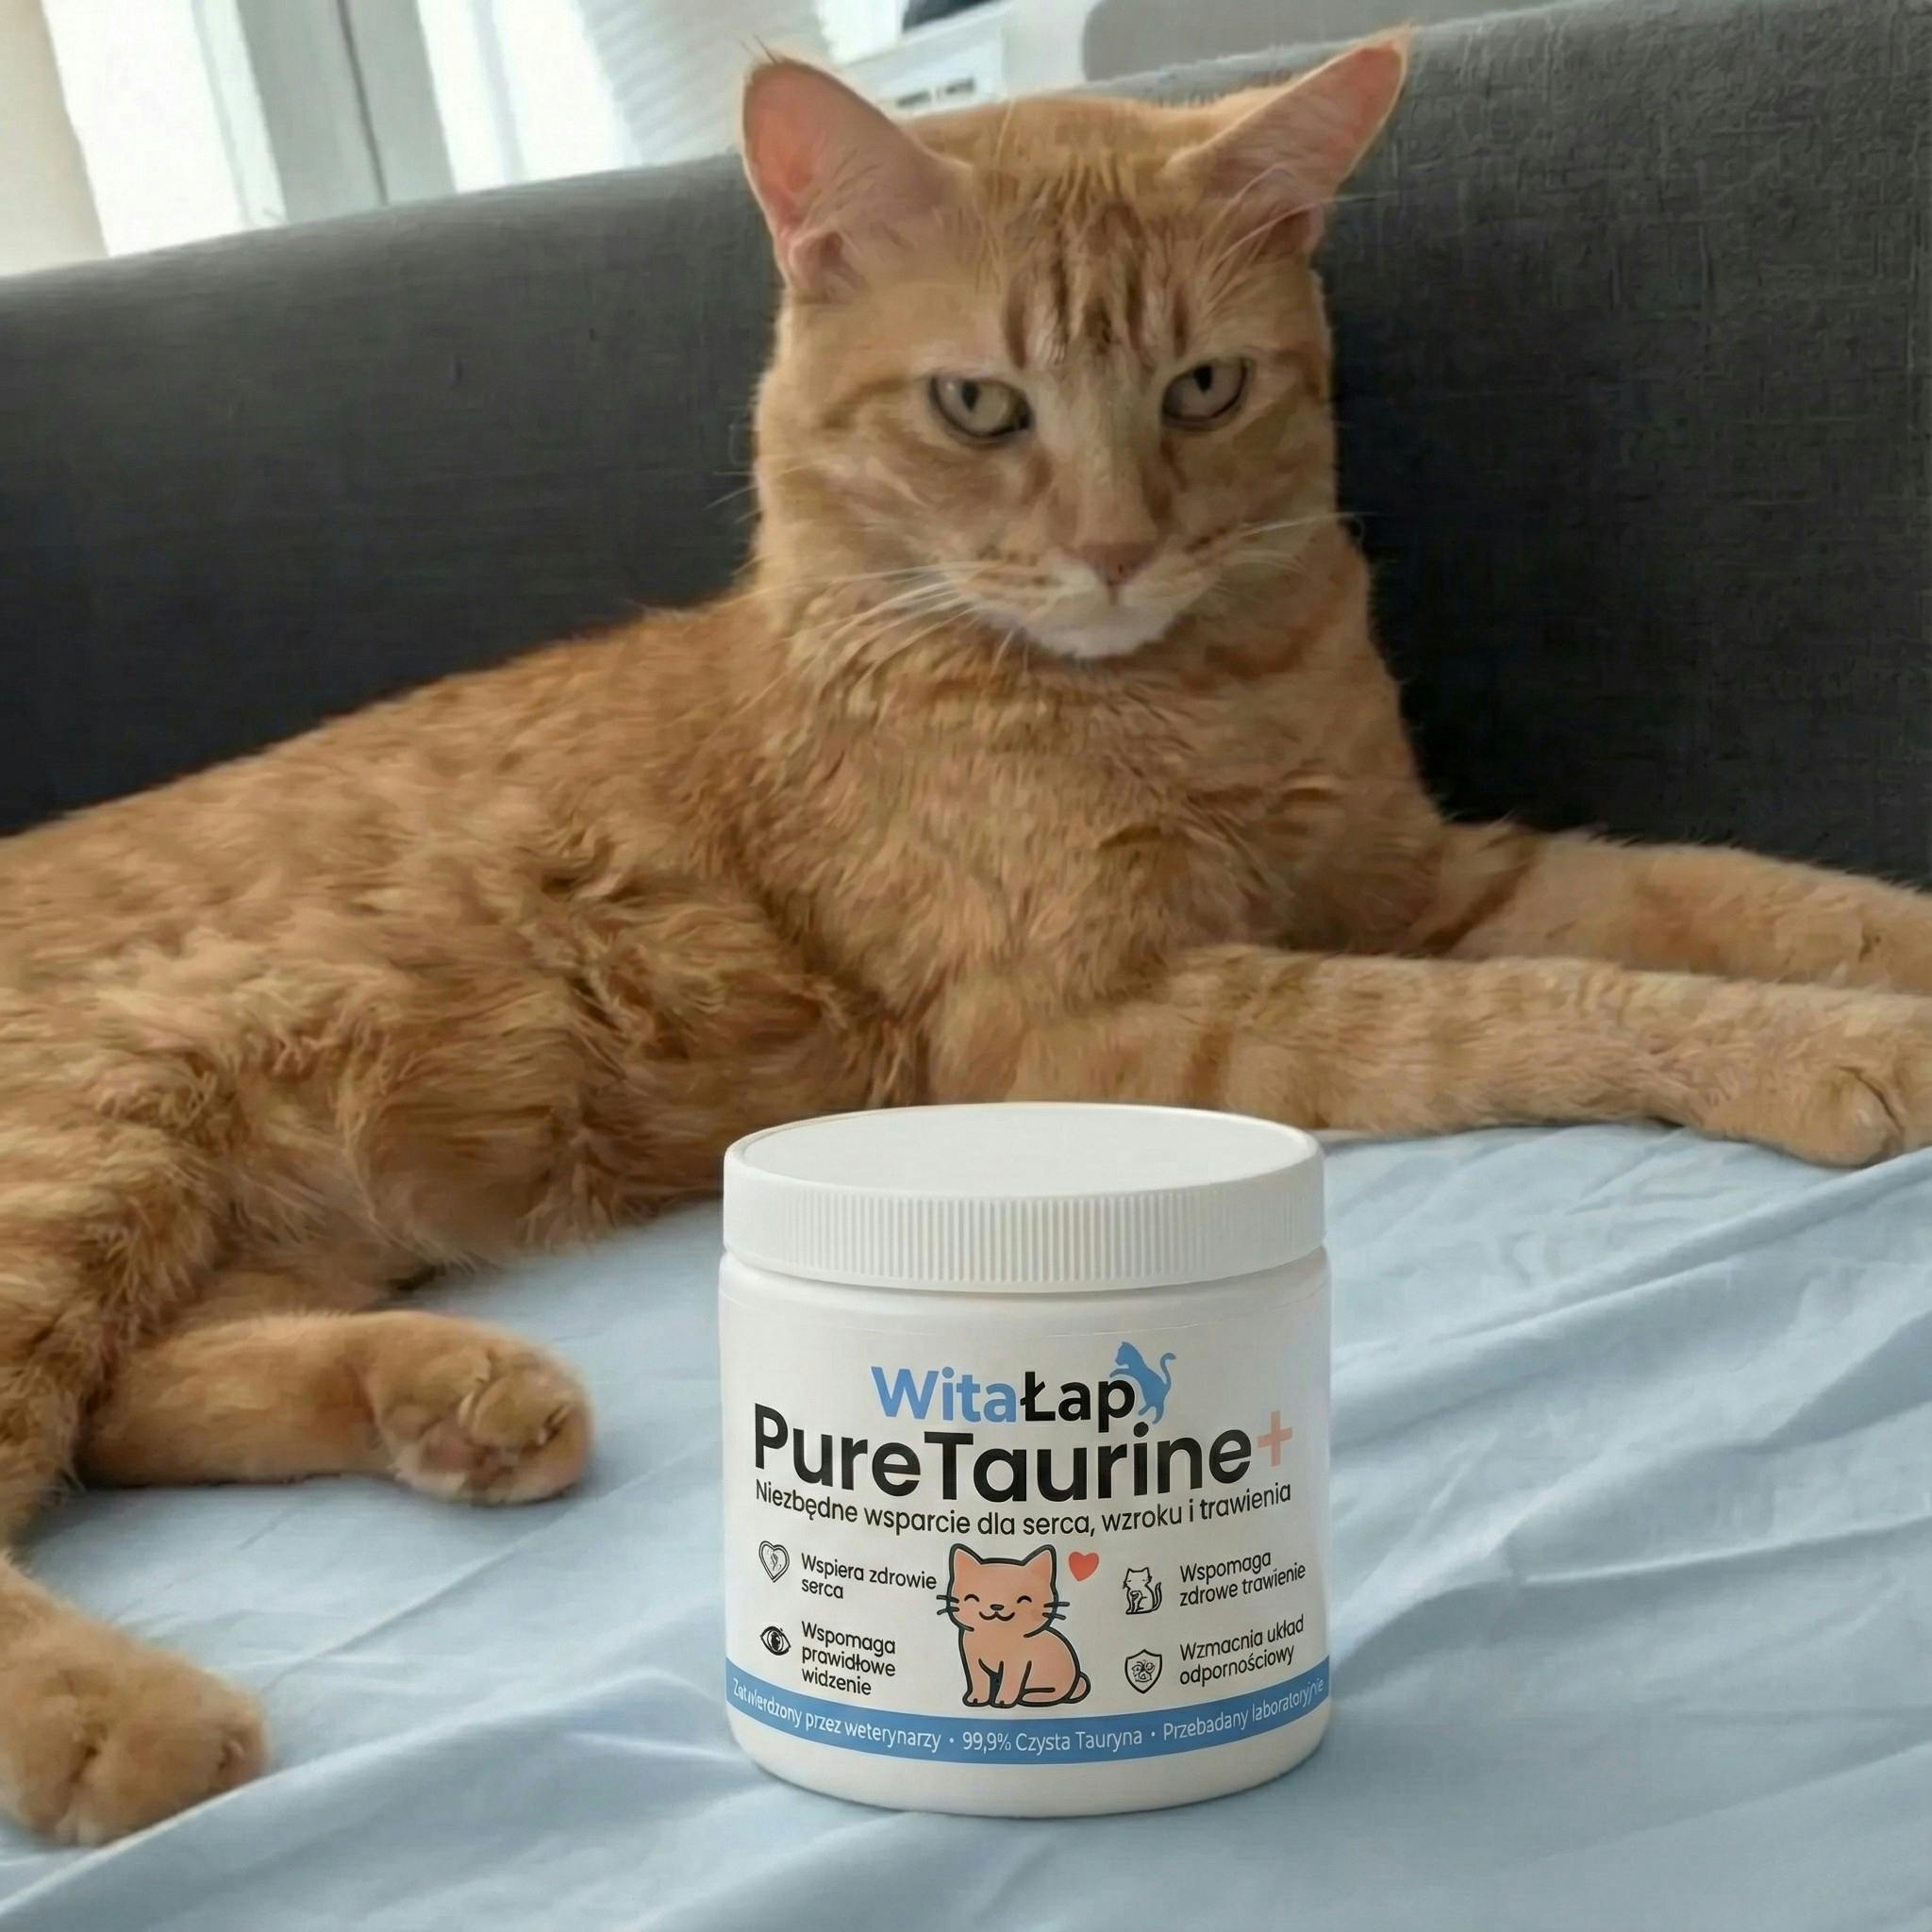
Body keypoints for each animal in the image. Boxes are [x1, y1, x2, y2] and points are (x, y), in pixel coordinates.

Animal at [943, 1546, 1090, 1707]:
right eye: (972, 1598)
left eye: (1024, 1600)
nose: (997, 1605)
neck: (996, 1633)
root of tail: (1076, 1681)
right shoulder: (973, 1661)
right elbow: (978, 1682)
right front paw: (976, 1699)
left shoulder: (1016, 1664)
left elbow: (1010, 1681)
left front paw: (1003, 1701)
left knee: (1056, 1694)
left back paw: (1031, 1696)